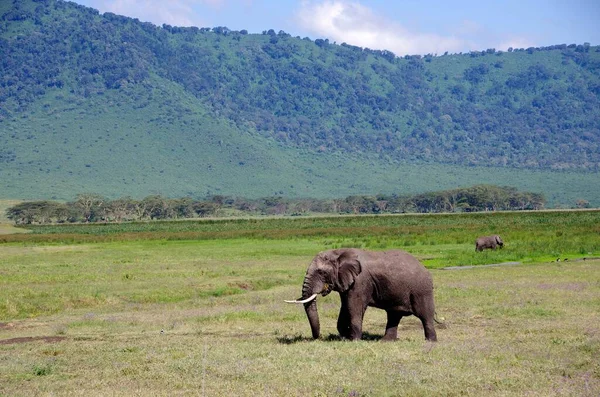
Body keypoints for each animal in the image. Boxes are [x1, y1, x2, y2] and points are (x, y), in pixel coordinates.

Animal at [284, 248, 436, 340]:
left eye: (322, 272)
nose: (317, 338)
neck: (339, 252)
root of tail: (425, 268)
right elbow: (345, 307)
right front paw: (345, 337)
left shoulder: (360, 281)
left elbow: (353, 307)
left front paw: (354, 340)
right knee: (394, 315)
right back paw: (385, 341)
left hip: (422, 290)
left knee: (425, 316)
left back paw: (430, 342)